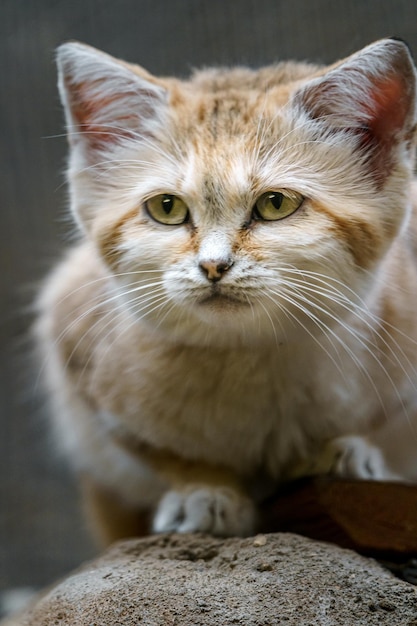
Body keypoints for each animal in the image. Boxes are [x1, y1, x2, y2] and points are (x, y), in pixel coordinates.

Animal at [35, 39, 416, 544]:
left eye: (276, 204)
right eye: (167, 208)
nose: (213, 265)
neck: (250, 357)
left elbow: (375, 427)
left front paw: (341, 450)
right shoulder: (78, 363)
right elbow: (159, 452)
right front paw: (204, 487)